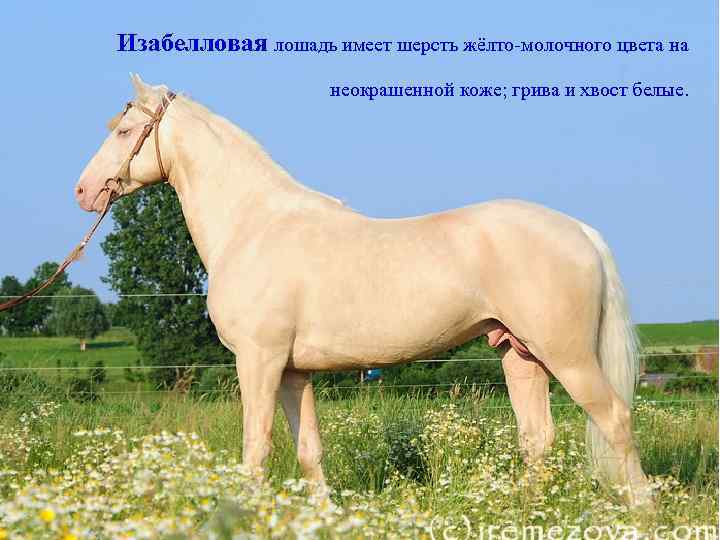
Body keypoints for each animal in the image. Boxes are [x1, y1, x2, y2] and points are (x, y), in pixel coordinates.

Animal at [74, 74, 653, 506]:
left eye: (125, 131)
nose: (84, 191)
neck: (254, 224)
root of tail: (580, 231)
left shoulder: (258, 361)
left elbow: (255, 449)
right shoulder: (293, 372)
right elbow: (307, 450)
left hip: (568, 356)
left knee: (616, 420)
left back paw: (641, 510)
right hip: (519, 353)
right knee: (538, 438)